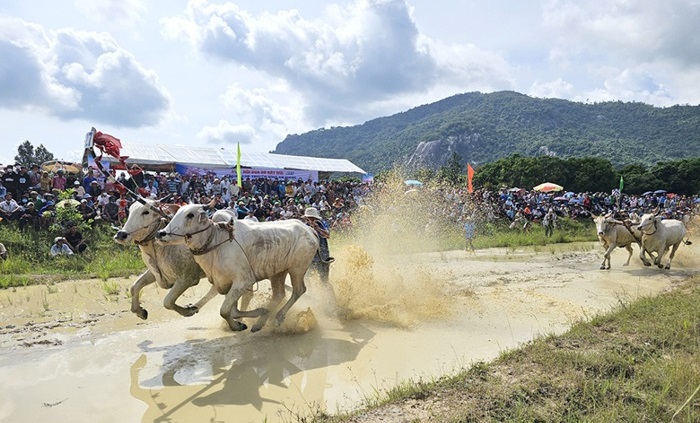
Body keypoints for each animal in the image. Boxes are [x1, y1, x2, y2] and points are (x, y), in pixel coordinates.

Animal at [157, 206, 320, 334]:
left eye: (190, 215)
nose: (161, 233)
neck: (216, 242)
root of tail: (309, 228)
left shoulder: (243, 281)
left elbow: (224, 310)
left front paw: (238, 326)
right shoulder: (225, 283)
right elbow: (232, 310)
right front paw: (255, 314)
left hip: (297, 268)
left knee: (299, 290)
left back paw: (278, 317)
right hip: (278, 272)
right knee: (279, 295)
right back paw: (260, 322)